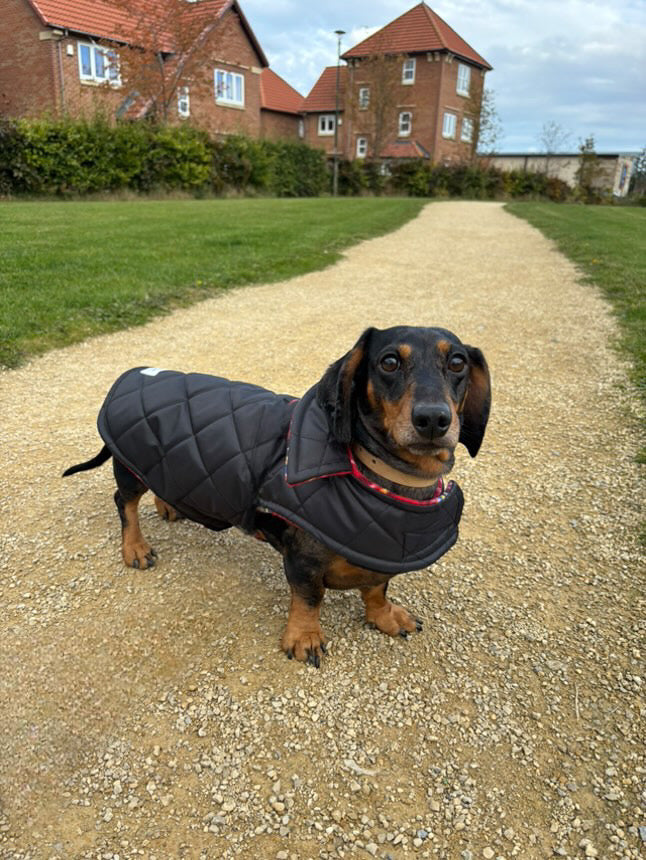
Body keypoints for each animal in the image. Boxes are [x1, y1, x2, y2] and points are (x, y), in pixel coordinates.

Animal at [64, 326, 492, 668]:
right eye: (388, 362)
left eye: (457, 362)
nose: (433, 419)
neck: (376, 472)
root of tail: (132, 375)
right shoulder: (303, 560)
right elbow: (309, 599)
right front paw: (304, 638)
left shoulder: (381, 552)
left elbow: (377, 587)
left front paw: (384, 615)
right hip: (129, 465)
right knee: (125, 503)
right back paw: (135, 547)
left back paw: (167, 506)